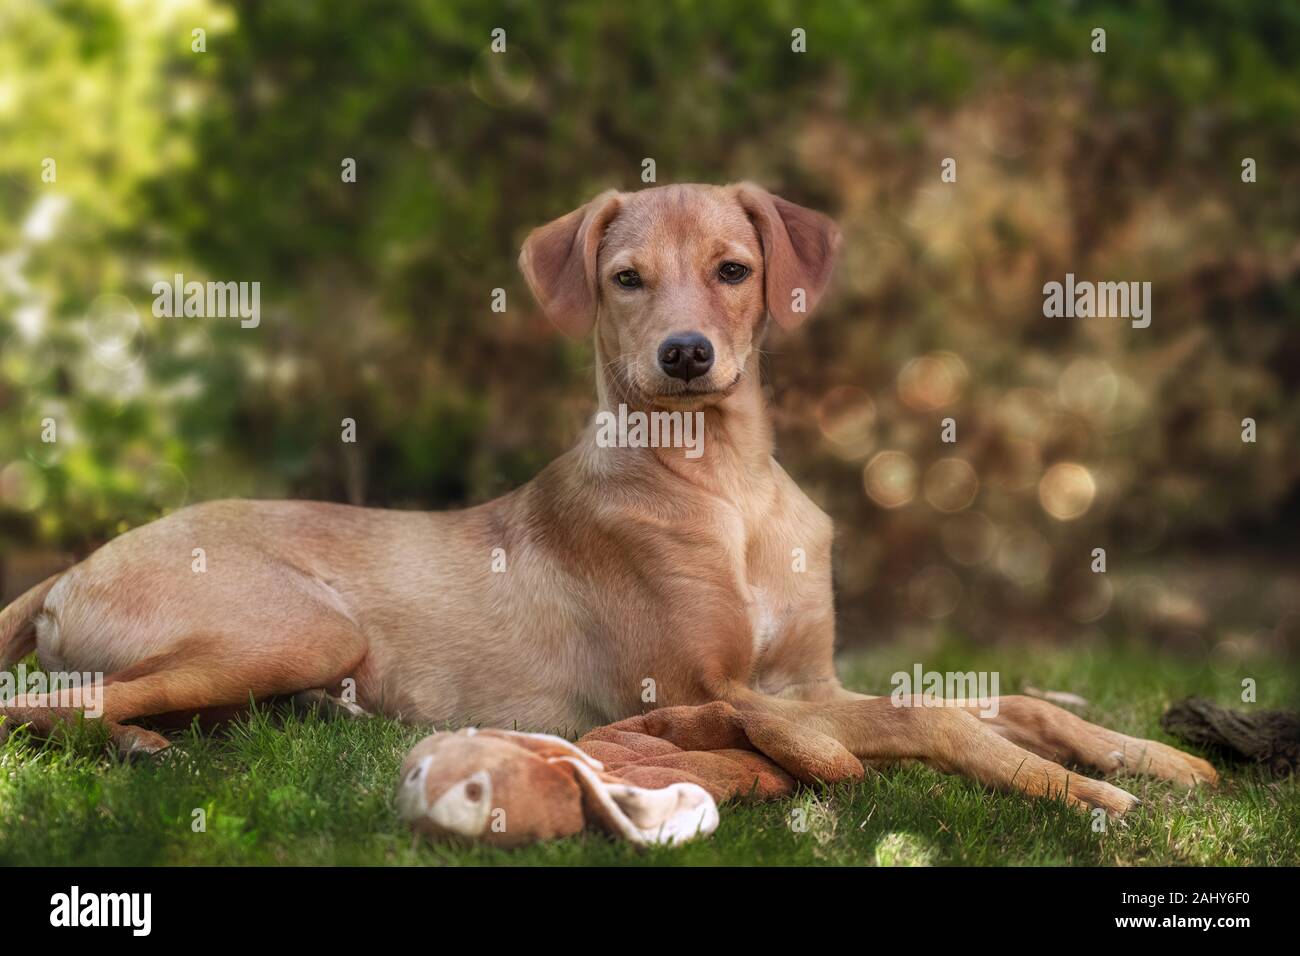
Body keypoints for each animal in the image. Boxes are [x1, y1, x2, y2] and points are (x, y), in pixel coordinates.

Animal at [2, 184, 1216, 816]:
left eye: (734, 268)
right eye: (626, 278)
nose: (685, 354)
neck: (725, 483)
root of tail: (68, 569)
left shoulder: (803, 678)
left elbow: (1015, 697)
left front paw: (1153, 758)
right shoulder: (714, 689)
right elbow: (932, 718)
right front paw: (1083, 794)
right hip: (297, 626)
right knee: (43, 704)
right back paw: (137, 745)